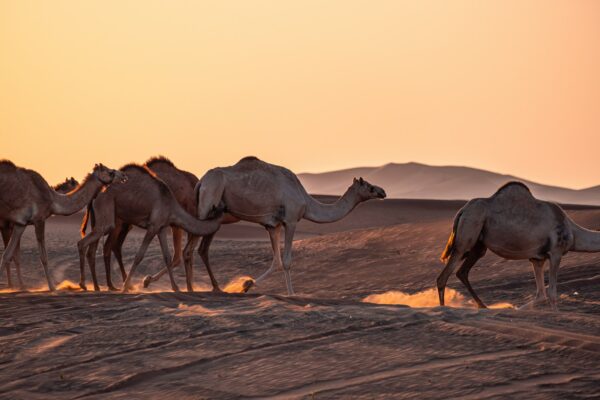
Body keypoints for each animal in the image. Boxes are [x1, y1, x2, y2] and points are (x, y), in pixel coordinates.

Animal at [0, 162, 125, 290]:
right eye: (110, 172)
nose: (123, 175)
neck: (52, 200)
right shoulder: (39, 219)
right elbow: (43, 257)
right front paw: (52, 287)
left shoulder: (20, 224)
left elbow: (7, 255)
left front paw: (21, 286)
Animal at [77, 164, 223, 292]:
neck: (171, 206)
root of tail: (96, 194)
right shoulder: (153, 227)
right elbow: (139, 255)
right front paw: (126, 286)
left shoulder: (161, 227)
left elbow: (167, 256)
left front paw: (175, 287)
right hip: (107, 218)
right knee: (88, 243)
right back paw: (88, 284)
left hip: (98, 220)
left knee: (93, 247)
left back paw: (97, 286)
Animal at [177, 158, 390, 296]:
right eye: (369, 186)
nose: (383, 191)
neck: (306, 201)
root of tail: (201, 182)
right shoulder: (291, 220)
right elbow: (286, 261)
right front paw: (291, 294)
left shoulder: (273, 226)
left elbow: (276, 261)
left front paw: (246, 285)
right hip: (207, 205)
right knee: (190, 249)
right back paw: (191, 289)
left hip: (210, 212)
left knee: (198, 249)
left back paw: (203, 288)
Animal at [436, 180, 600, 310]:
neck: (573, 233)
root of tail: (462, 211)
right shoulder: (556, 253)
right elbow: (552, 293)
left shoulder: (538, 258)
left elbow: (541, 295)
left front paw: (514, 309)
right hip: (467, 233)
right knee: (444, 275)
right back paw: (443, 308)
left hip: (478, 245)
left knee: (462, 272)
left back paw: (483, 306)